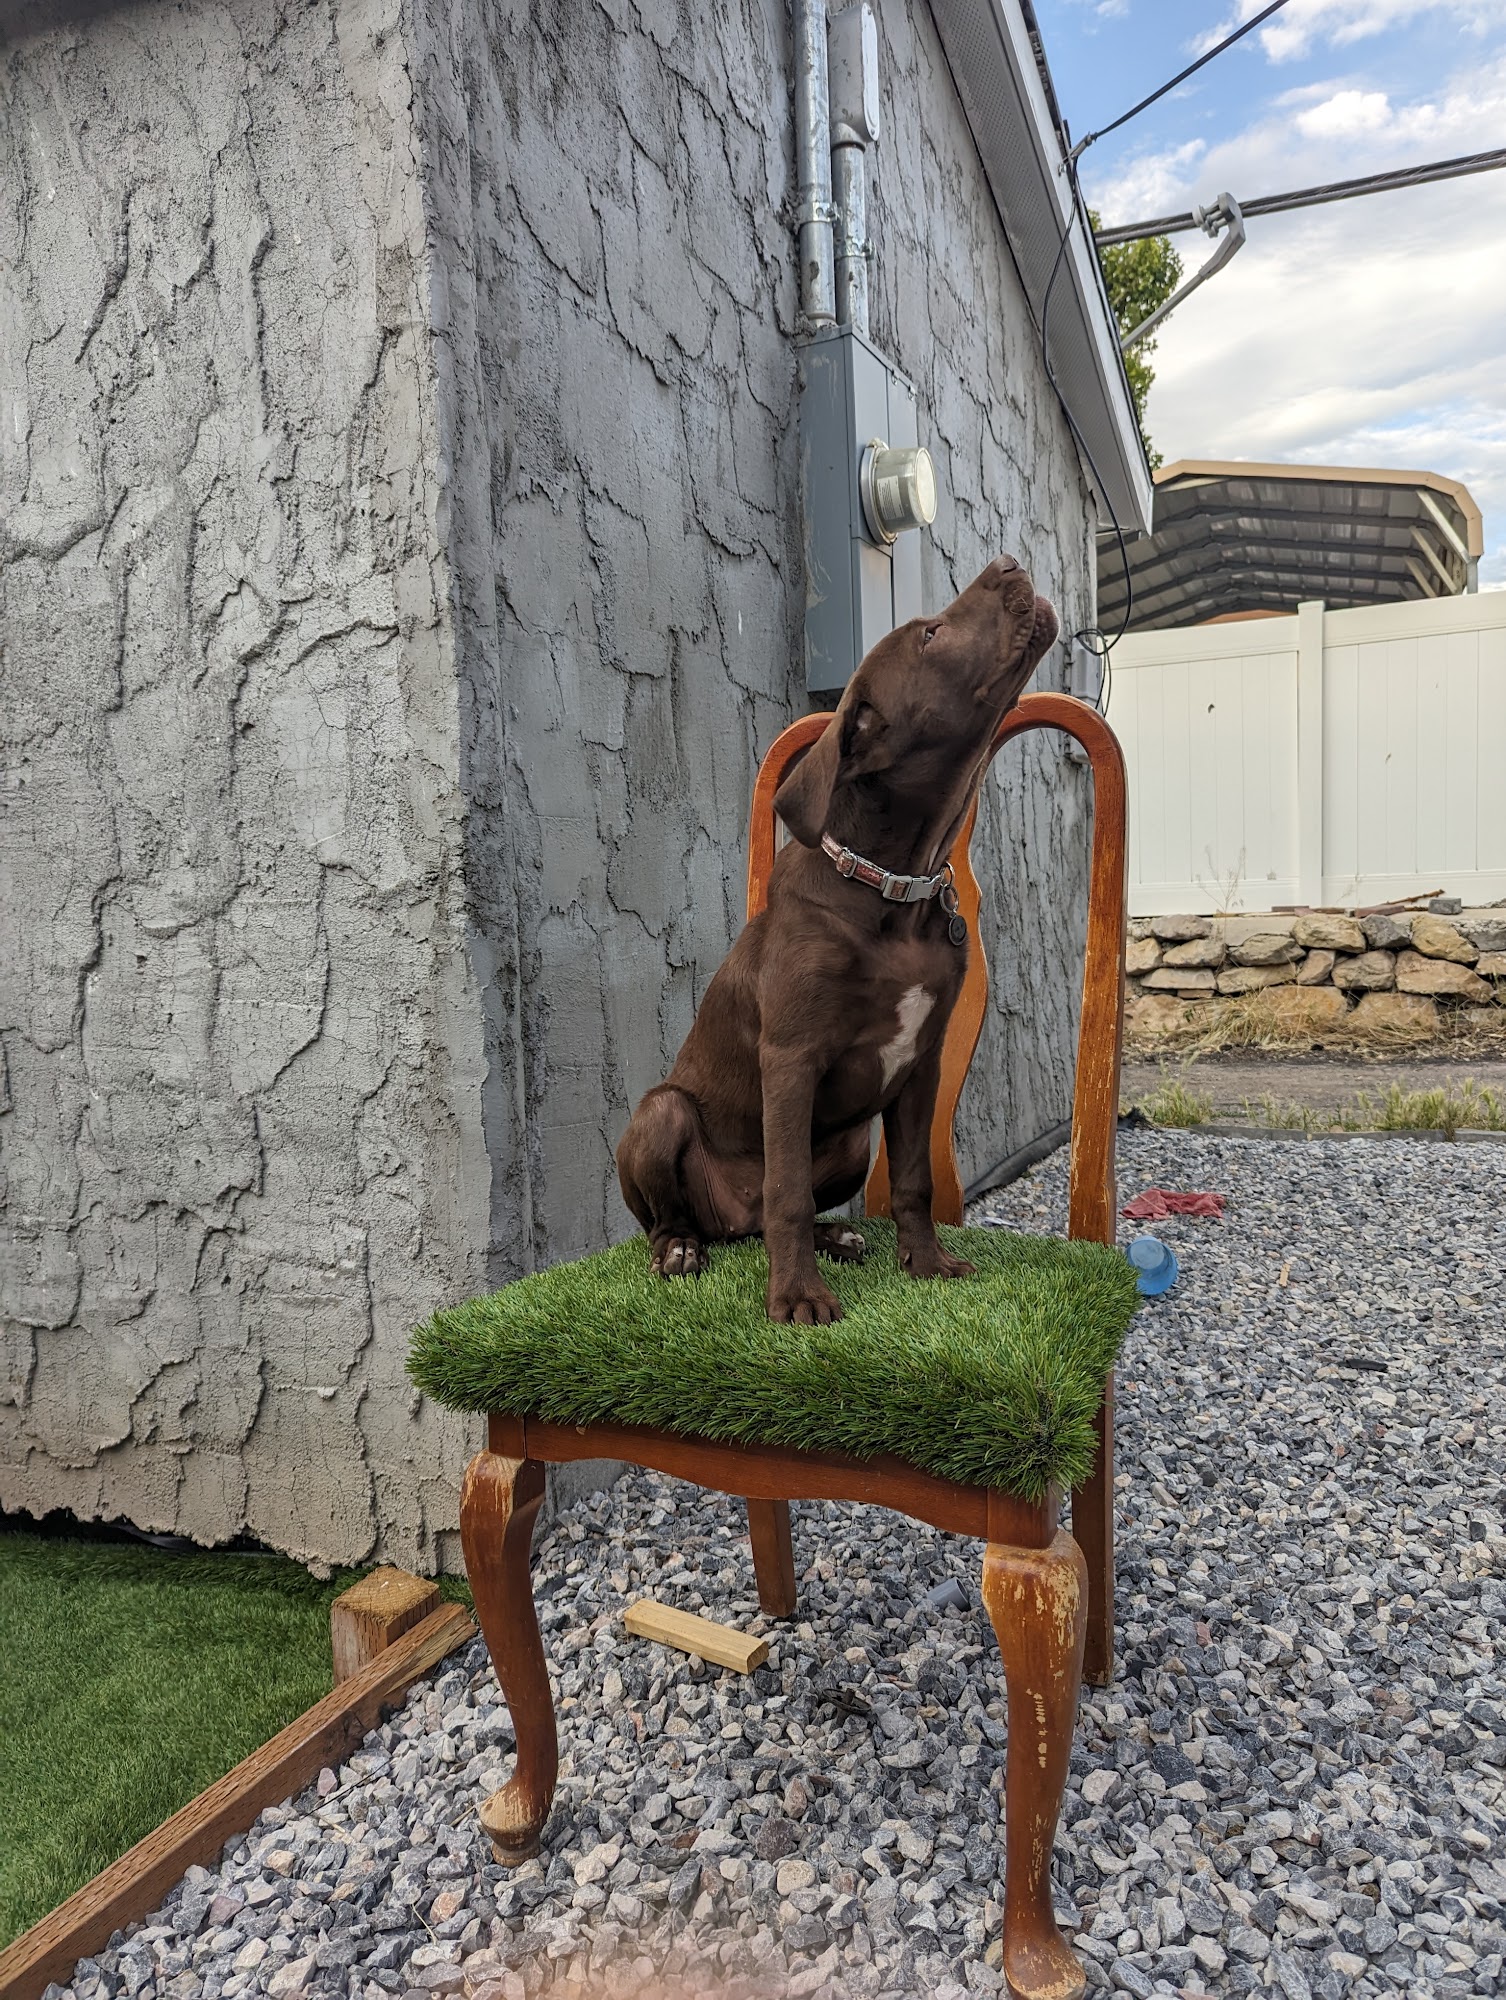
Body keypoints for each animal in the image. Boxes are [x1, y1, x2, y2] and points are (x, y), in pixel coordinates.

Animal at [616, 555, 1059, 1323]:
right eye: (931, 634)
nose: (1007, 562)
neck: (892, 887)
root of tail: (728, 1221)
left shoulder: (922, 1062)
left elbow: (913, 1179)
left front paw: (927, 1263)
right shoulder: (792, 1057)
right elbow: (788, 1190)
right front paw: (797, 1296)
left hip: (851, 1143)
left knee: (771, 1212)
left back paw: (838, 1237)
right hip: (661, 1113)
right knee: (697, 1211)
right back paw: (681, 1251)